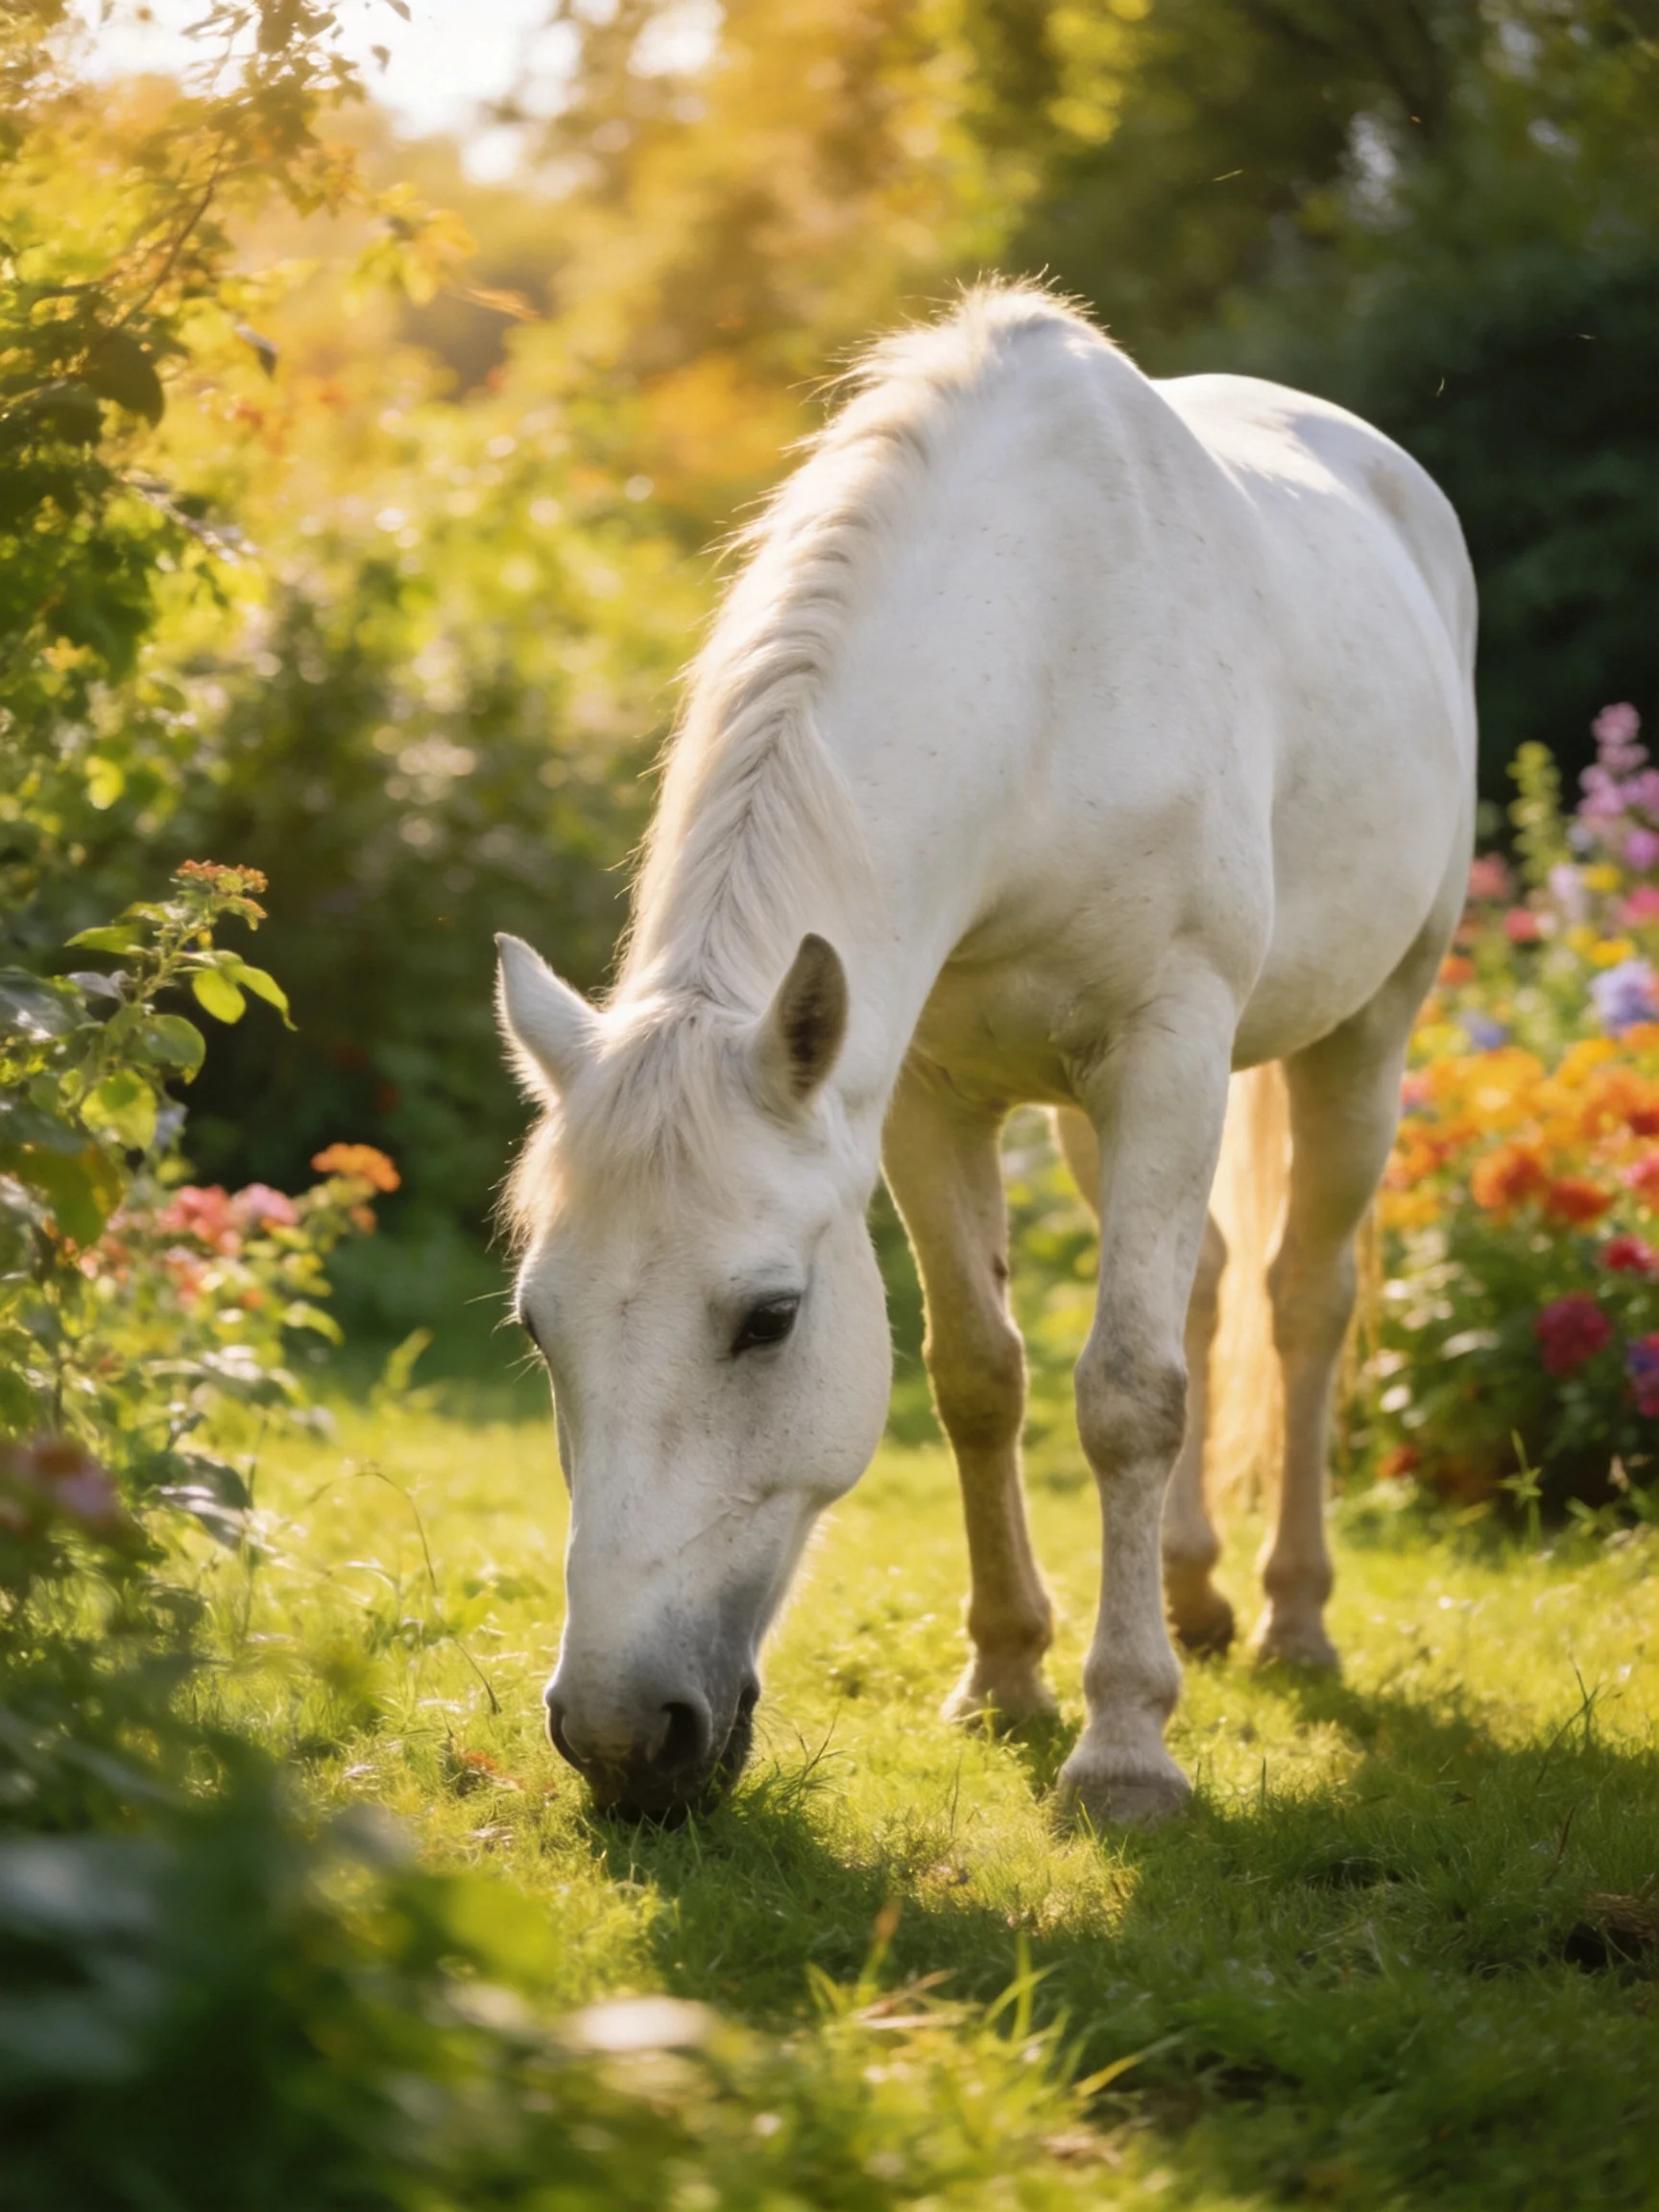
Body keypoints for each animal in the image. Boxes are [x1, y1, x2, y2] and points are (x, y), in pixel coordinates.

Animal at [496, 283, 1476, 1827]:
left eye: (769, 1319)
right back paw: (1195, 1595)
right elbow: (979, 1376)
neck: (1046, 667)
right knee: (1205, 1283)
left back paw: (1293, 1619)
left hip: (1365, 1036)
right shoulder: (923, 1098)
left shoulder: (1166, 1053)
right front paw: (1006, 1677)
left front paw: (1125, 1750)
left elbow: (1129, 1395)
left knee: (1301, 1301)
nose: (618, 1738)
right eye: (541, 1325)